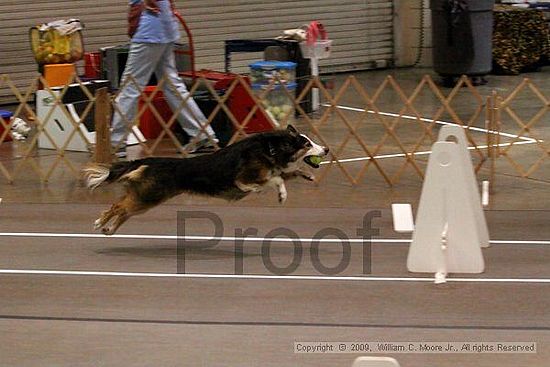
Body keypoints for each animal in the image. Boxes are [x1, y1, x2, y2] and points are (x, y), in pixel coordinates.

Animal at [82, 126, 330, 236]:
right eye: (307, 144)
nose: (326, 149)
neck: (271, 148)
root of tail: (150, 161)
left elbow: (286, 173)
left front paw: (306, 175)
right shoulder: (244, 178)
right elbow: (275, 178)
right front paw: (281, 194)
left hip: (143, 198)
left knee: (123, 209)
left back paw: (108, 228)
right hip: (148, 197)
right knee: (118, 207)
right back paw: (99, 222)